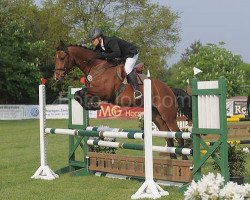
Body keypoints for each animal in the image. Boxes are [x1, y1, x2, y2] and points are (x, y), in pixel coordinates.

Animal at [54, 40, 191, 159]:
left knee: (178, 135)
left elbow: (81, 92)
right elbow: (78, 94)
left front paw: (93, 106)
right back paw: (173, 160)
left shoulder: (105, 91)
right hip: (156, 116)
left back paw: (184, 159)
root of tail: (169, 88)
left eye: (62, 57)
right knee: (168, 137)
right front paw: (91, 105)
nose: (56, 77)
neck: (96, 67)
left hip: (168, 115)